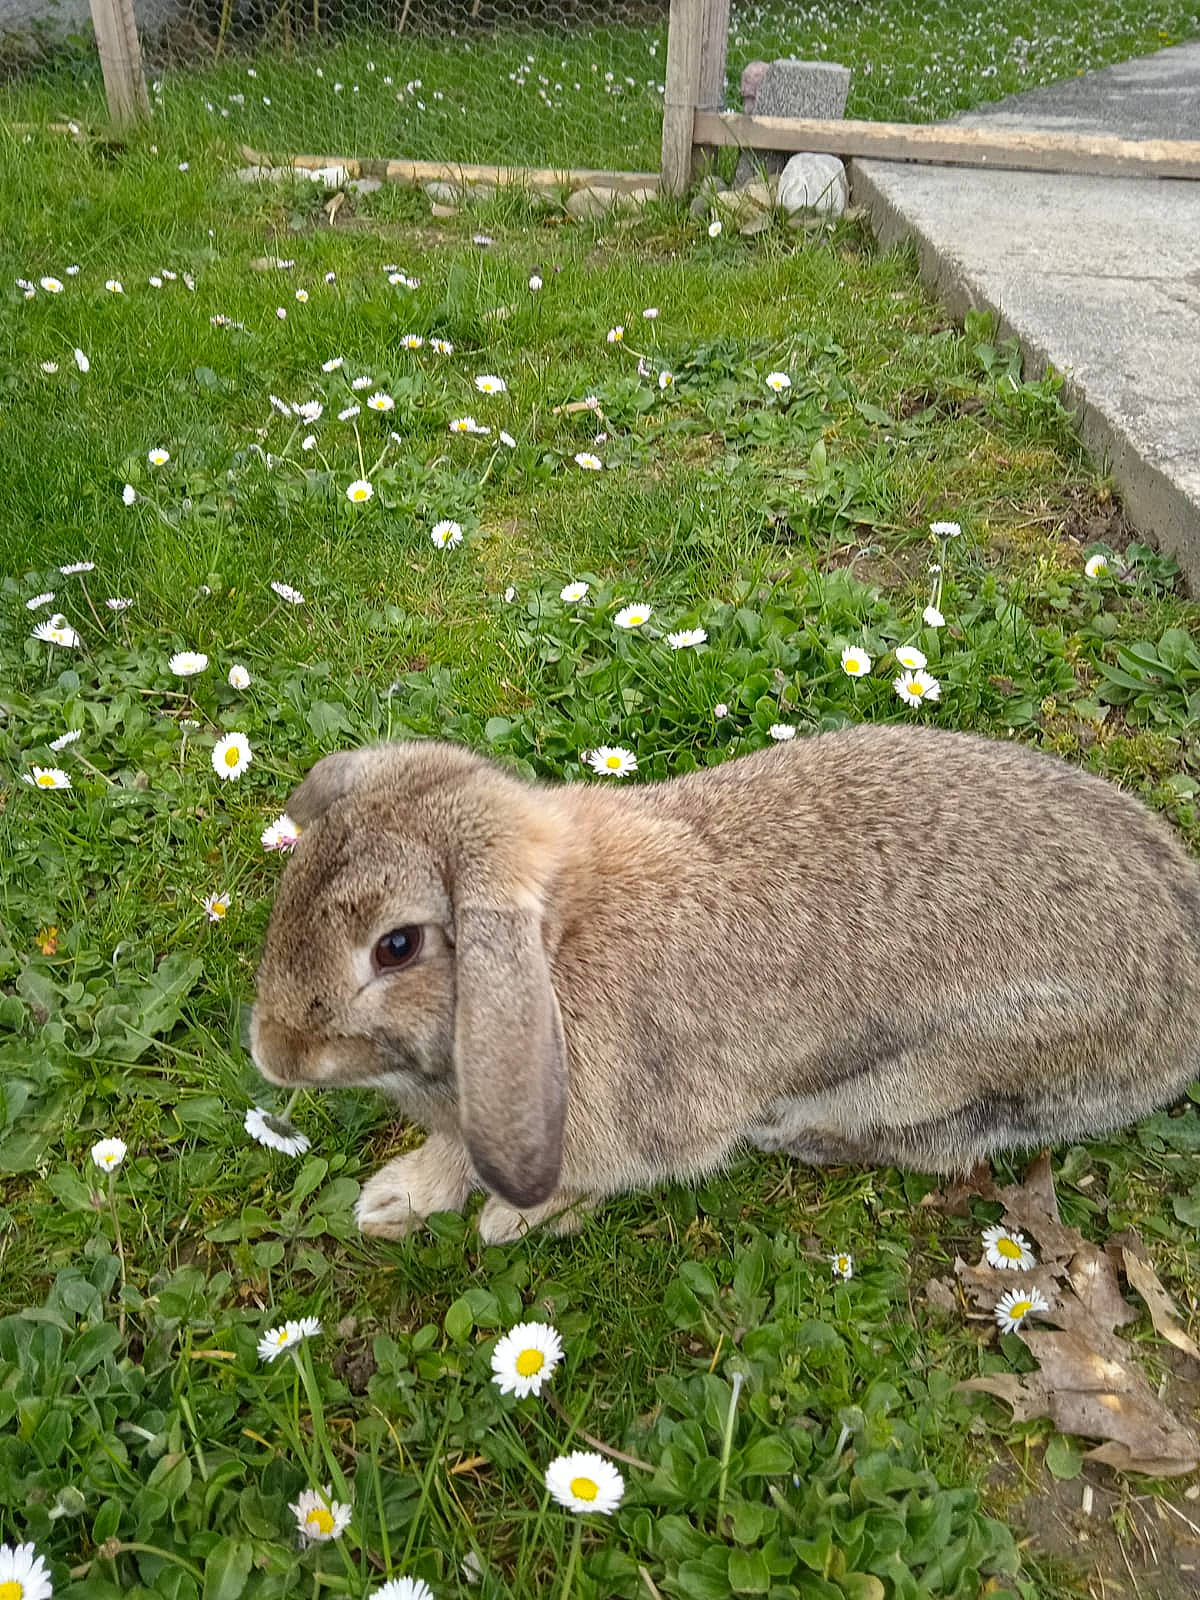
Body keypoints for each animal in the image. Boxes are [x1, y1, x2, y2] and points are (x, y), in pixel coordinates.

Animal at [249, 725, 1200, 1245]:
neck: (555, 947)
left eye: (397, 947)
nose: (273, 1054)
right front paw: (393, 1201)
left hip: (954, 1066)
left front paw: (514, 1221)